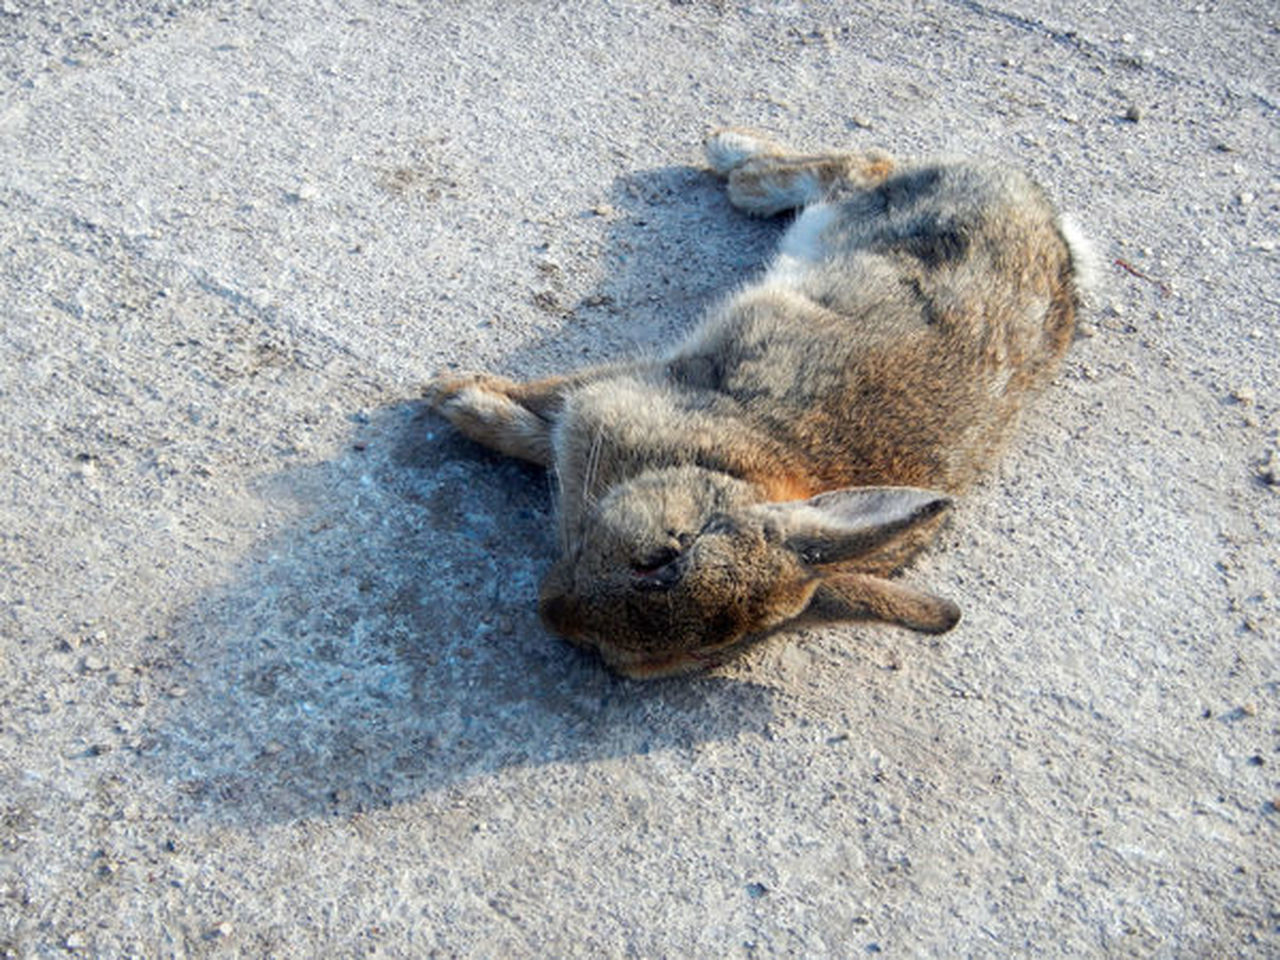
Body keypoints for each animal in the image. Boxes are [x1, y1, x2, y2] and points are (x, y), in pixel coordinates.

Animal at [424, 128, 1095, 680]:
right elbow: (553, 401)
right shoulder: (639, 387)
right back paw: (736, 159)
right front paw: (451, 395)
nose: (549, 609)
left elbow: (548, 423)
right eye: (660, 557)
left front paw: (461, 401)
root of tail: (1050, 221)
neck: (728, 471)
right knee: (863, 164)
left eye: (689, 655)